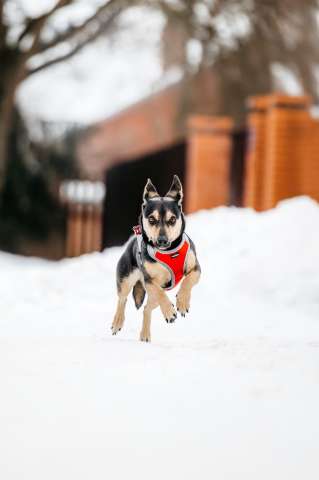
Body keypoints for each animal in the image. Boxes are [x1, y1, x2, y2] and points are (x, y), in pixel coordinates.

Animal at [111, 175, 201, 342]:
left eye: (172, 220)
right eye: (152, 220)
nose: (162, 241)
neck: (169, 252)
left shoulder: (196, 268)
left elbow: (188, 281)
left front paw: (182, 302)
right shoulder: (150, 280)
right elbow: (160, 294)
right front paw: (170, 311)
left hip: (150, 295)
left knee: (146, 308)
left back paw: (145, 335)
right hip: (126, 278)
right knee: (122, 299)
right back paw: (117, 322)